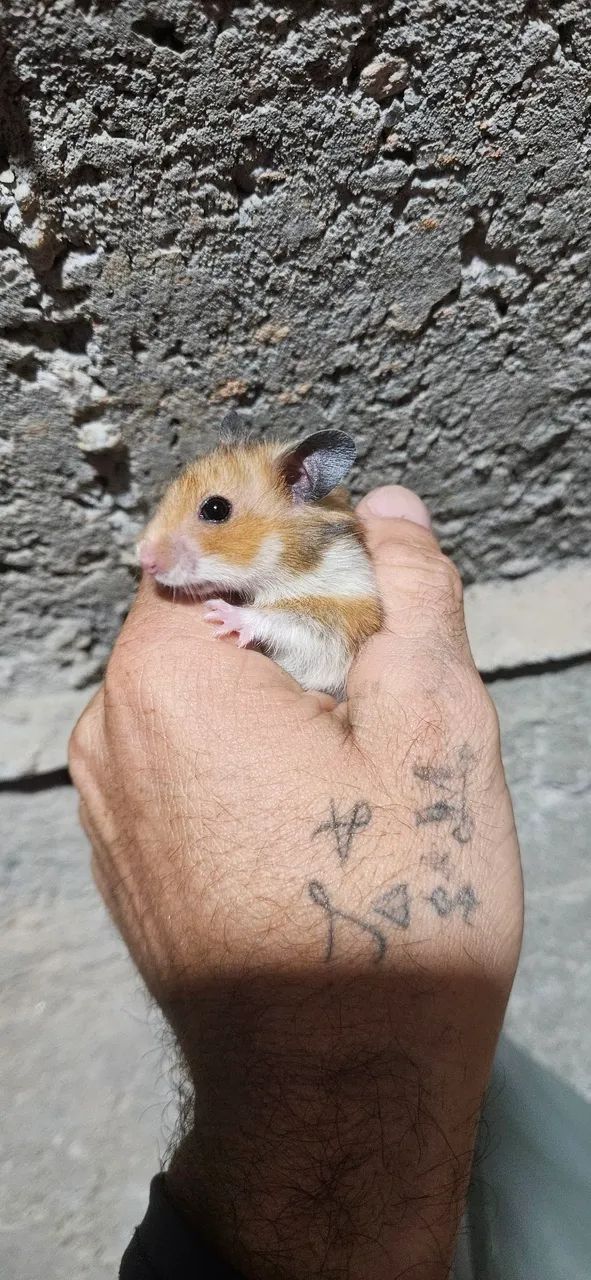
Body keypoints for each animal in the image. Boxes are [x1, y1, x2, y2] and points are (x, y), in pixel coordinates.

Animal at [137, 412, 383, 699]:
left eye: (215, 509)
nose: (145, 561)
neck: (292, 566)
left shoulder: (342, 623)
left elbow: (287, 619)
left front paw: (221, 613)